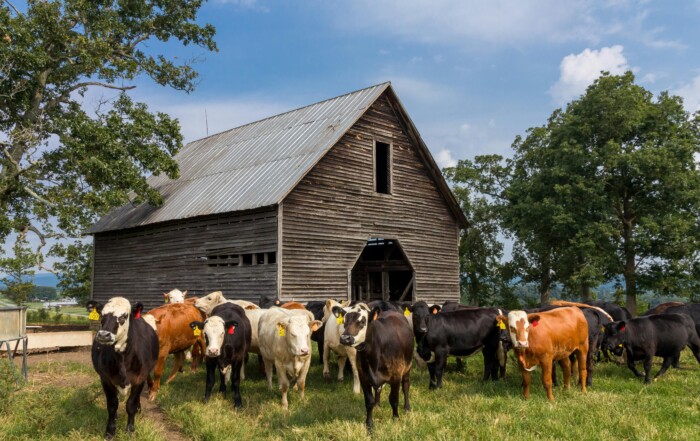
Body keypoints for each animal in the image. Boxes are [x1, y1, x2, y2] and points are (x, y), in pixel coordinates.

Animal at [87, 297, 159, 439]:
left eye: (124, 316)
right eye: (102, 315)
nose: (103, 335)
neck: (122, 358)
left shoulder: (139, 379)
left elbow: (131, 405)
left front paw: (130, 430)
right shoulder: (106, 379)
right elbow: (112, 405)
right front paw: (110, 431)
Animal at [339, 306, 413, 434]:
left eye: (362, 322)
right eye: (344, 322)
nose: (345, 338)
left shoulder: (396, 376)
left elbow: (394, 399)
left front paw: (395, 418)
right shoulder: (363, 377)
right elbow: (369, 402)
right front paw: (369, 425)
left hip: (407, 368)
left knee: (405, 386)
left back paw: (407, 408)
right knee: (378, 389)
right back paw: (377, 405)